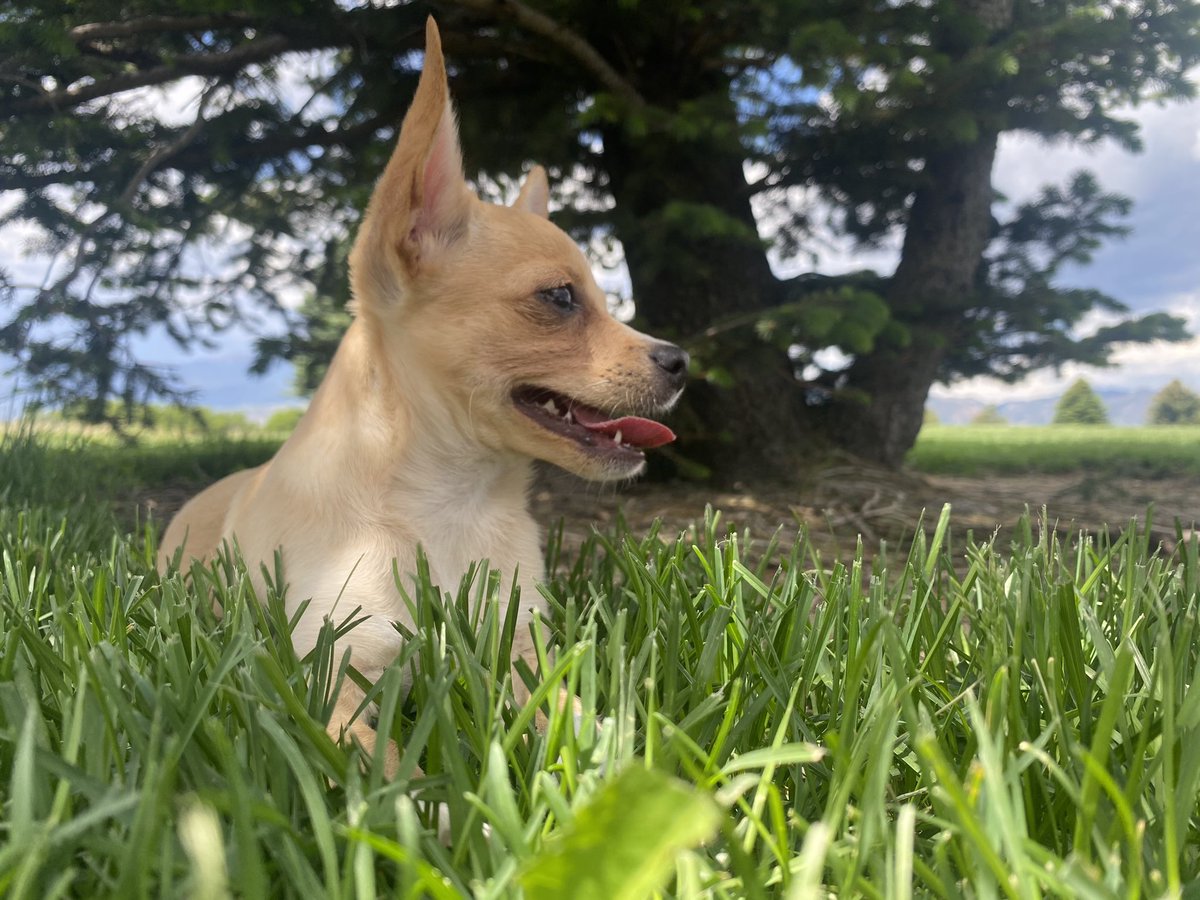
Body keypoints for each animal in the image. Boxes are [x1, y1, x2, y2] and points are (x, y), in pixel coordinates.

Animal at [156, 15, 691, 777]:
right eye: (560, 298)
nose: (681, 361)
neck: (449, 507)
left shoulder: (527, 654)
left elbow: (583, 722)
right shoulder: (330, 679)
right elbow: (391, 776)